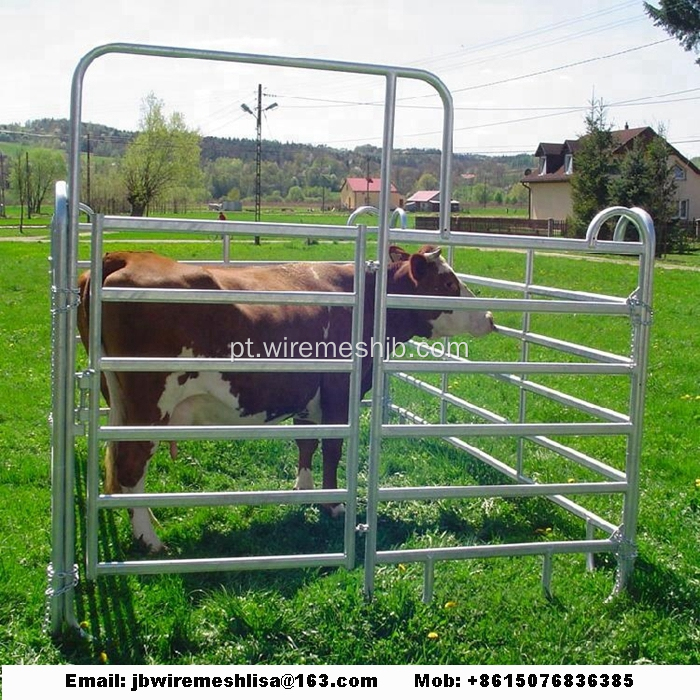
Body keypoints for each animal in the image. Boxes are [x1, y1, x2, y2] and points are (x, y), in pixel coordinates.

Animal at [78, 246, 492, 552]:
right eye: (448, 283)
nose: (489, 316)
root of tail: (128, 256)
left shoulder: (309, 394)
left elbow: (306, 443)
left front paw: (303, 491)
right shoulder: (339, 392)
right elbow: (332, 448)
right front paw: (334, 504)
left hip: (122, 402)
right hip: (150, 403)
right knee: (131, 463)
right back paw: (149, 539)